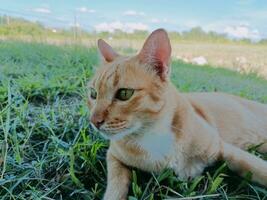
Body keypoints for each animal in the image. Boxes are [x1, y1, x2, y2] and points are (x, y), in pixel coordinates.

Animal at [88, 28, 267, 199]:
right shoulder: (114, 156)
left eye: (124, 94)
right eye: (93, 94)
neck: (153, 136)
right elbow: (116, 182)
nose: (94, 121)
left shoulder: (224, 148)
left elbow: (257, 168)